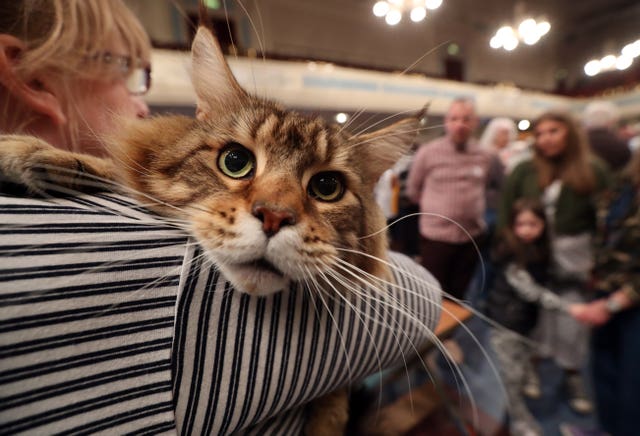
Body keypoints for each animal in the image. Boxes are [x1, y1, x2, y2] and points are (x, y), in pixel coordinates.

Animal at [0, 28, 424, 436]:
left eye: (326, 187)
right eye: (235, 161)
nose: (274, 216)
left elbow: (334, 404)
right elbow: (114, 167)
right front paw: (33, 152)